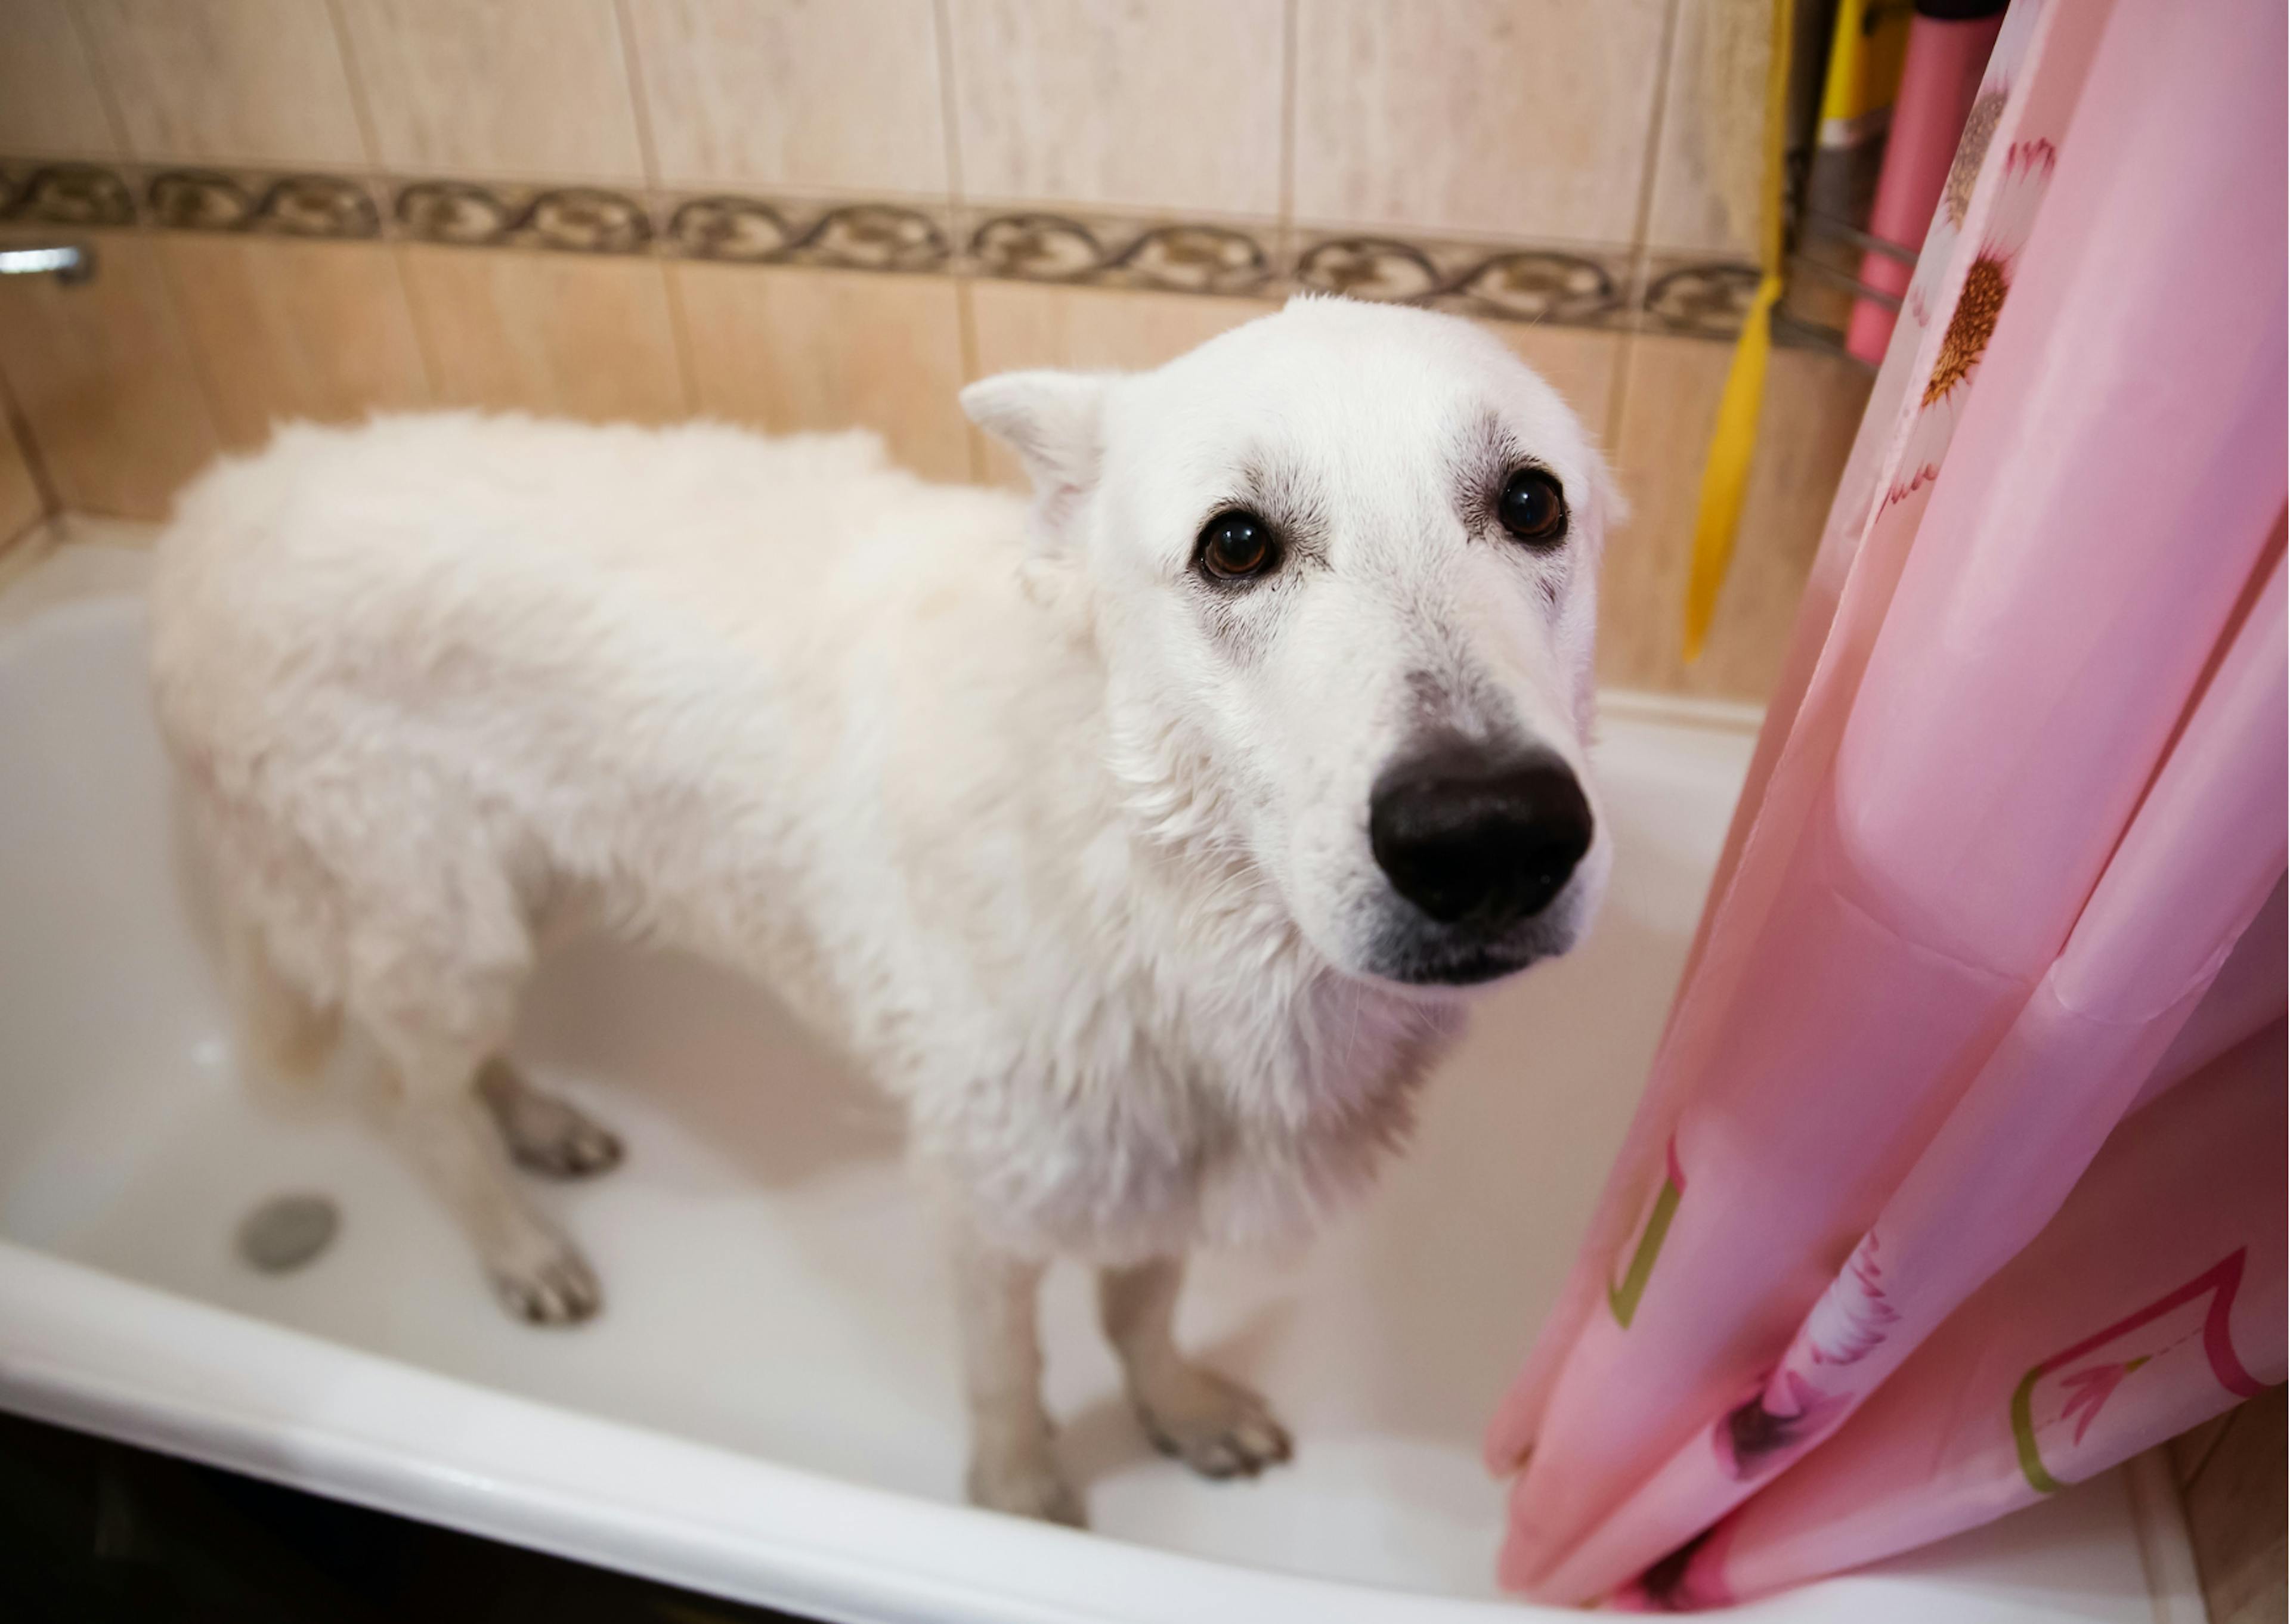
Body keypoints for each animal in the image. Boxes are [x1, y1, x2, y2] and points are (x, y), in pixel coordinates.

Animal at [147, 297, 1612, 1530]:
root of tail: (203, 520)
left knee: (453, 1067)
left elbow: (1142, 1315)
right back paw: (520, 1248)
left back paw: (543, 1125)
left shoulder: (1157, 1161)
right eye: (1238, 543)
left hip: (529, 893)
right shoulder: (989, 1197)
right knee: (410, 1100)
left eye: (1531, 504)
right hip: (446, 920)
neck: (1144, 885)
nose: (1490, 834)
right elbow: (1012, 1378)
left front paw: (1178, 1412)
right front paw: (1022, 1510)